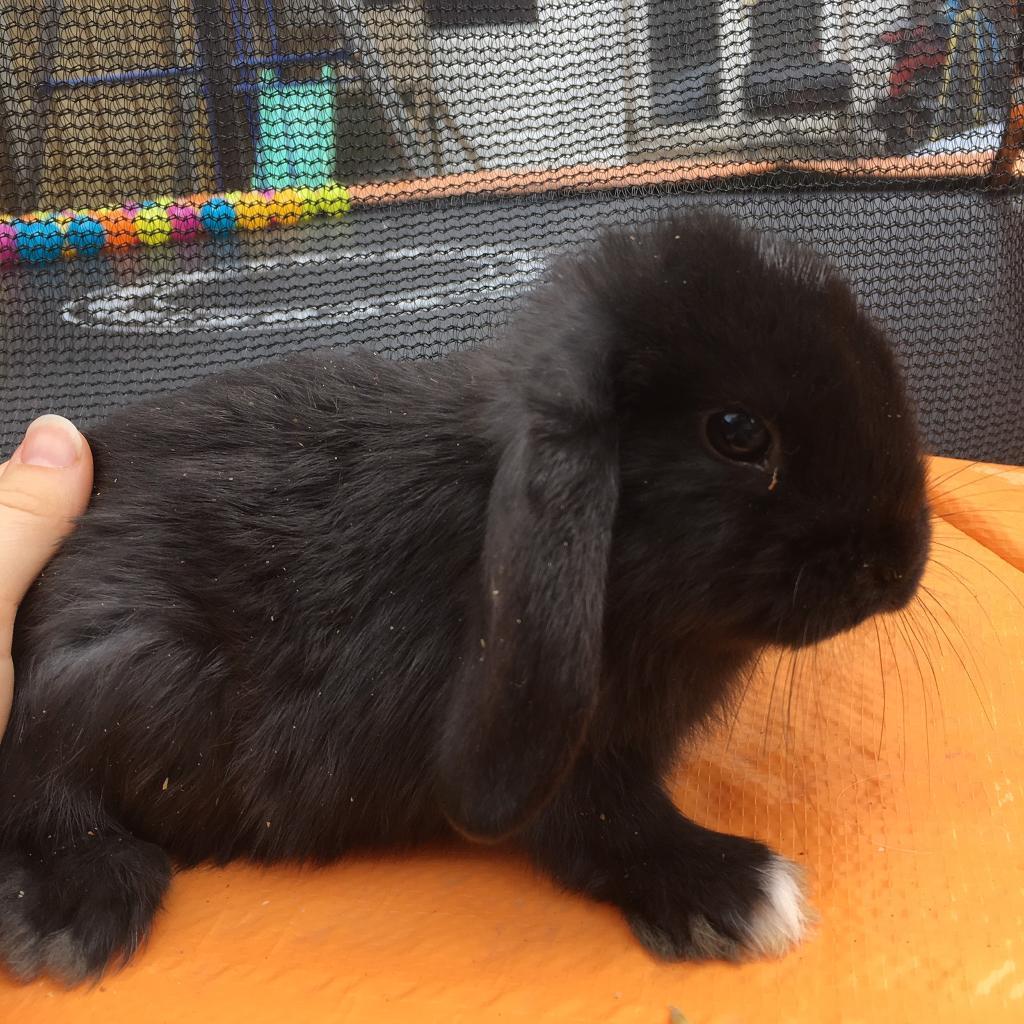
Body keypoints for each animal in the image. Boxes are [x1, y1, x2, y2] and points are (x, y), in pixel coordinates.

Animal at [0, 211, 931, 985]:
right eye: (738, 433)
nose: (901, 564)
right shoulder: (572, 759)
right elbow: (610, 828)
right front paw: (736, 892)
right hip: (125, 672)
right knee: (43, 785)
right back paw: (77, 909)